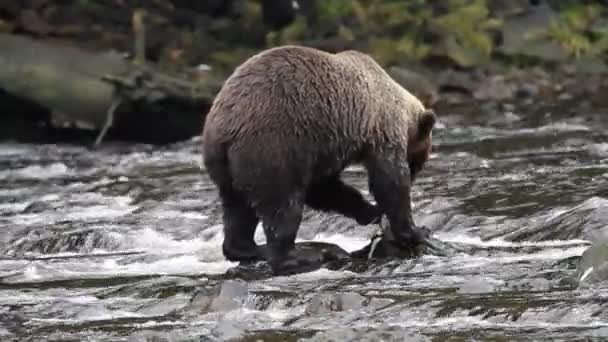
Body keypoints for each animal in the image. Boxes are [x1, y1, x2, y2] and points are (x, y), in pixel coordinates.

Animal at [203, 45, 436, 276]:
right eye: (416, 164)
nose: (414, 174)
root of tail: (224, 129)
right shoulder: (376, 130)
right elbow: (389, 181)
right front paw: (416, 230)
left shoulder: (329, 146)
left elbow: (324, 188)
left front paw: (371, 212)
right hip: (272, 146)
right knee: (282, 205)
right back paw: (301, 254)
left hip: (227, 166)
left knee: (237, 208)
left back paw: (249, 249)